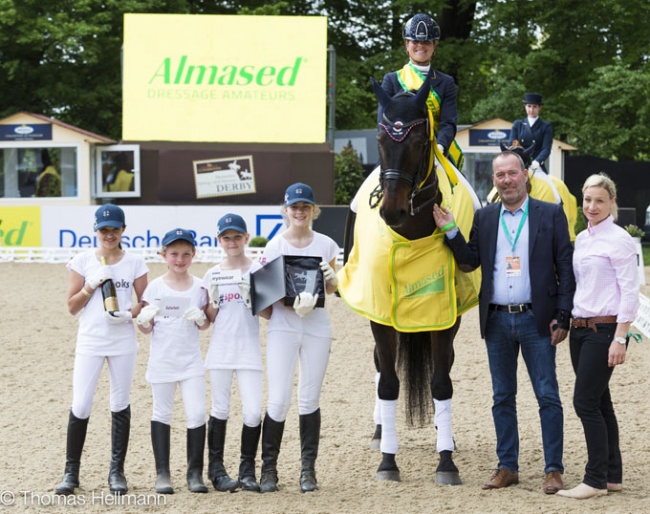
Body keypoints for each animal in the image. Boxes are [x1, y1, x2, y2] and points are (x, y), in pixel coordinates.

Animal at [336, 69, 478, 484]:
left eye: (419, 139)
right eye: (381, 138)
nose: (391, 211)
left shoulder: (446, 317)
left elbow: (441, 382)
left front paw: (446, 461)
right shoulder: (380, 313)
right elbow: (387, 382)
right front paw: (388, 460)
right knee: (380, 368)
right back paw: (380, 431)